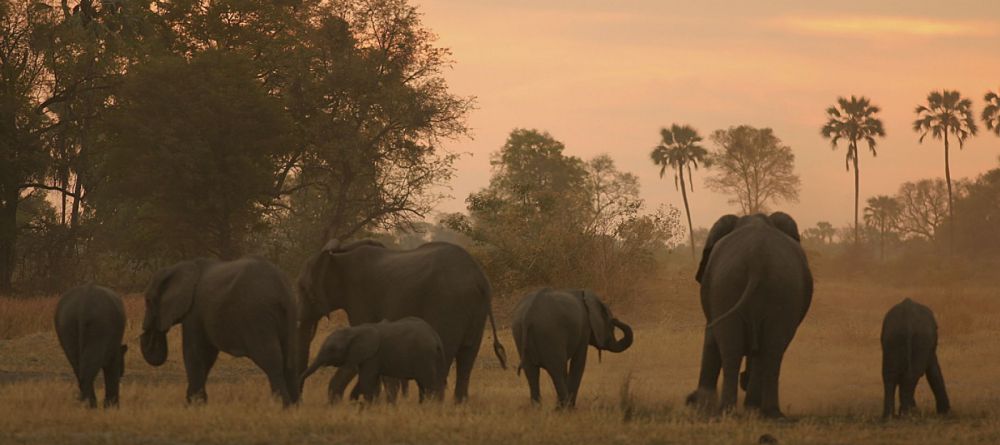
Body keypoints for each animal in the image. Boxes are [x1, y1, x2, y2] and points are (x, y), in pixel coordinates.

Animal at [139, 255, 298, 404]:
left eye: (147, 301)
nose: (146, 334)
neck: (176, 268)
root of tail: (282, 290)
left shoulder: (195, 312)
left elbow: (195, 353)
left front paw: (194, 404)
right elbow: (207, 356)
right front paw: (198, 402)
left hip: (257, 316)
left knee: (271, 360)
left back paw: (282, 405)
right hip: (287, 315)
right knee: (290, 361)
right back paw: (294, 406)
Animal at [298, 316, 444, 402]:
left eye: (332, 349)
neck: (354, 331)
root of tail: (436, 337)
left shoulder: (372, 356)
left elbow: (366, 380)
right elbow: (366, 381)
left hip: (425, 357)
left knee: (429, 384)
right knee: (423, 385)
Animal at [688, 212, 812, 416]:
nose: (743, 380)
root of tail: (757, 261)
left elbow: (711, 339)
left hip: (729, 286)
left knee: (739, 348)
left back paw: (735, 410)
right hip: (774, 290)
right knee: (770, 349)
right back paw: (764, 412)